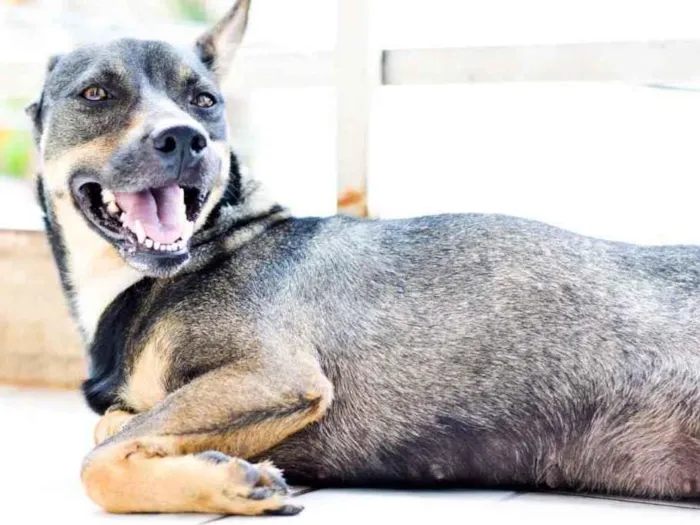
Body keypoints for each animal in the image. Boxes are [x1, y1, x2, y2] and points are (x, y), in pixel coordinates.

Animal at [27, 0, 700, 516]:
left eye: (206, 101)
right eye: (96, 94)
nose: (186, 138)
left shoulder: (276, 374)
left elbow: (98, 460)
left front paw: (230, 480)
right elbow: (113, 425)